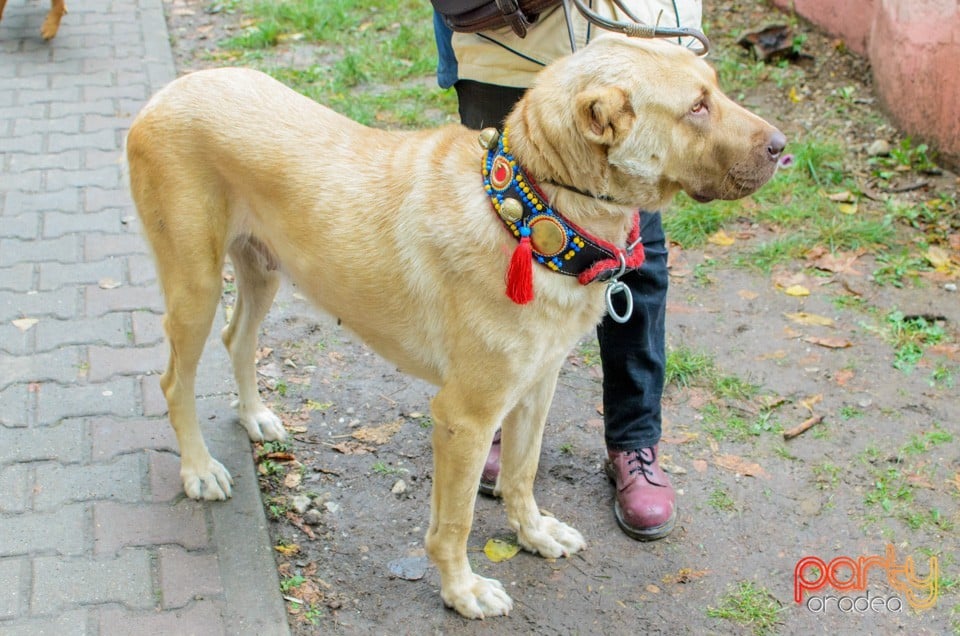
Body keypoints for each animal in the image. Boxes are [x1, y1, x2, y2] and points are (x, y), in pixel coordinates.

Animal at [127, 37, 788, 620]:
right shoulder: (464, 417)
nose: (784, 147)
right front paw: (462, 591)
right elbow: (456, 521)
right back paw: (198, 470)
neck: (533, 213)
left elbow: (521, 473)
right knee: (173, 381)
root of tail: (168, 93)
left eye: (716, 88)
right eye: (696, 107)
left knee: (236, 340)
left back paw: (254, 417)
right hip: (195, 286)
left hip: (261, 270)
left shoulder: (536, 387)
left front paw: (534, 534)